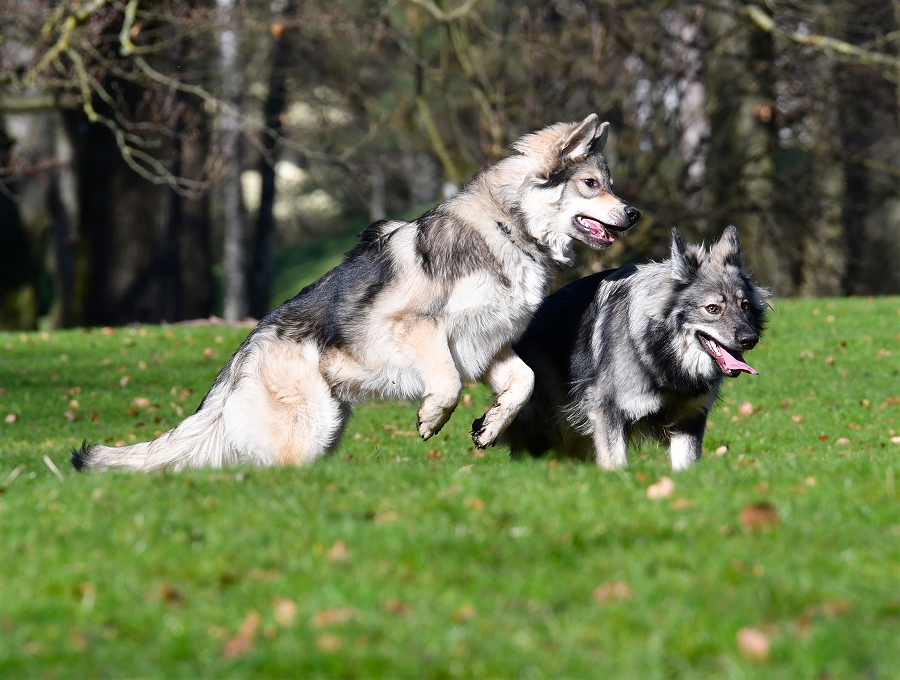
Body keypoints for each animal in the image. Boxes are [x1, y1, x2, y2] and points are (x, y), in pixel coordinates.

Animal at [72, 113, 641, 471]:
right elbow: (446, 385)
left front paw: (490, 427)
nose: (634, 213)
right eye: (592, 184)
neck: (508, 228)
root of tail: (243, 352)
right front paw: (433, 418)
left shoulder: (487, 345)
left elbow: (522, 384)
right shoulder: (421, 330)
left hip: (326, 425)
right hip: (309, 428)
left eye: (609, 183)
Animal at [500, 226, 768, 471]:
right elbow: (616, 463)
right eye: (712, 308)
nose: (750, 339)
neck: (660, 356)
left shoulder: (688, 420)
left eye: (744, 306)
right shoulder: (608, 412)